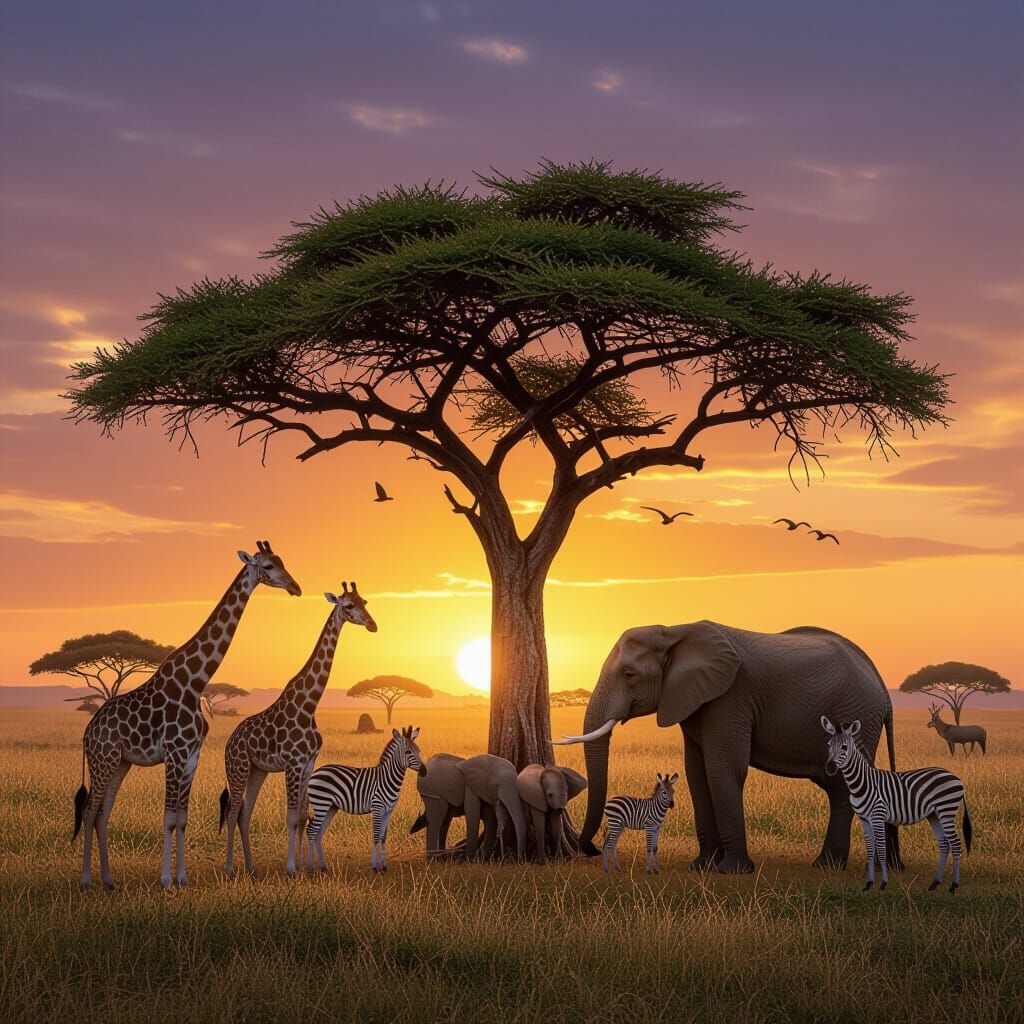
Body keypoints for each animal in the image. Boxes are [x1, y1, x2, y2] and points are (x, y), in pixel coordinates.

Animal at [555, 621, 900, 874]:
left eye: (629, 675)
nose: (589, 849)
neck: (674, 631)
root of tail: (883, 689)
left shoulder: (730, 698)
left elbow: (723, 769)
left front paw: (731, 871)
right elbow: (696, 773)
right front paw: (701, 867)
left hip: (855, 715)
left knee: (845, 786)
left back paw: (827, 865)